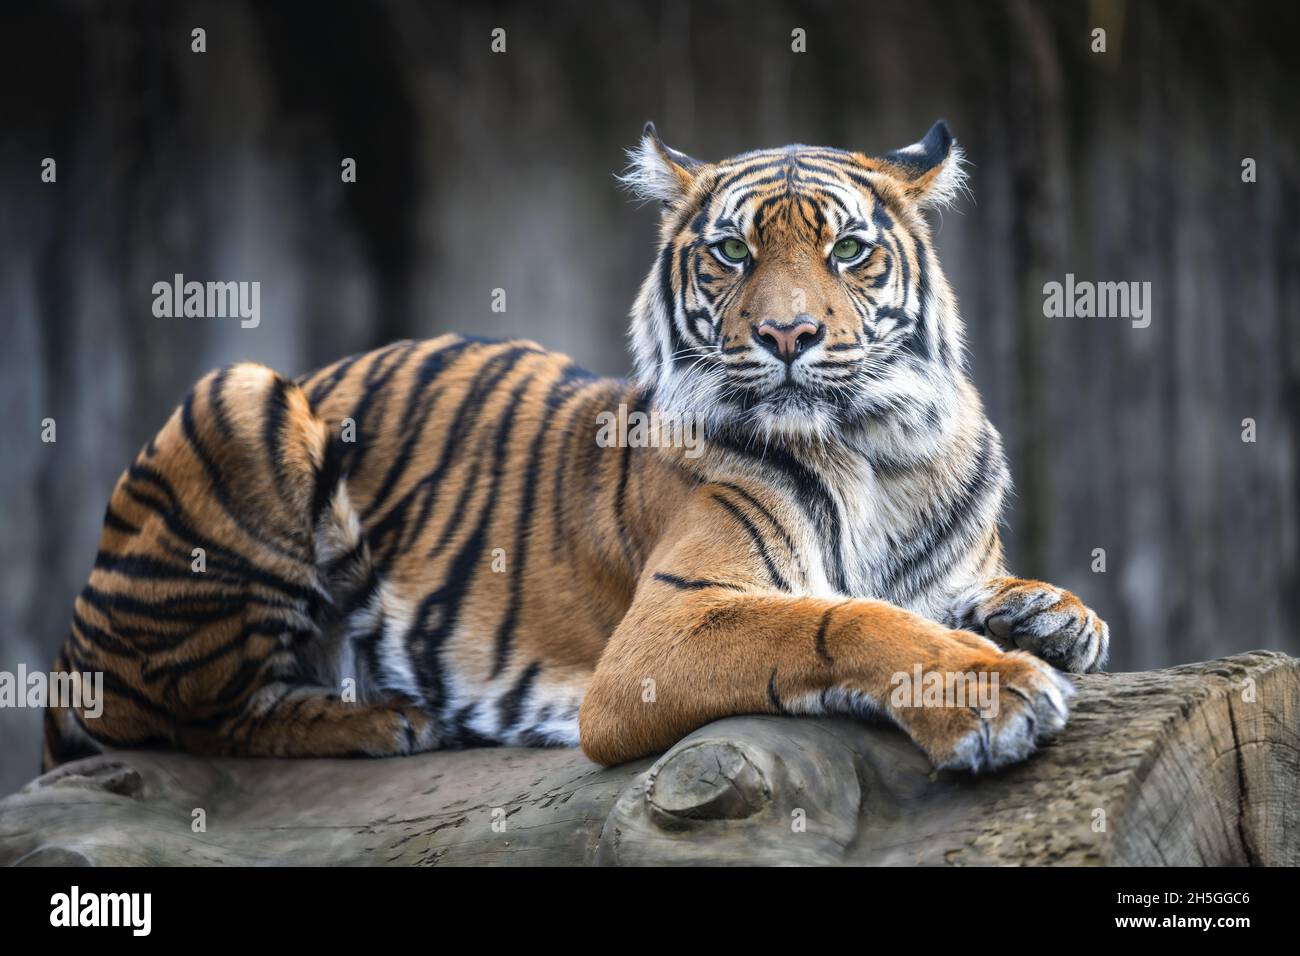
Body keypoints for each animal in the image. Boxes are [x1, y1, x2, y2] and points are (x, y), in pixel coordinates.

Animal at [45, 119, 1112, 780]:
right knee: (170, 716)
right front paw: (994, 691)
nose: (789, 335)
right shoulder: (665, 628)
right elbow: (841, 619)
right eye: (732, 253)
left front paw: (1056, 619)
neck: (884, 449)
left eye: (849, 252)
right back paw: (385, 718)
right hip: (242, 395)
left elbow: (979, 595)